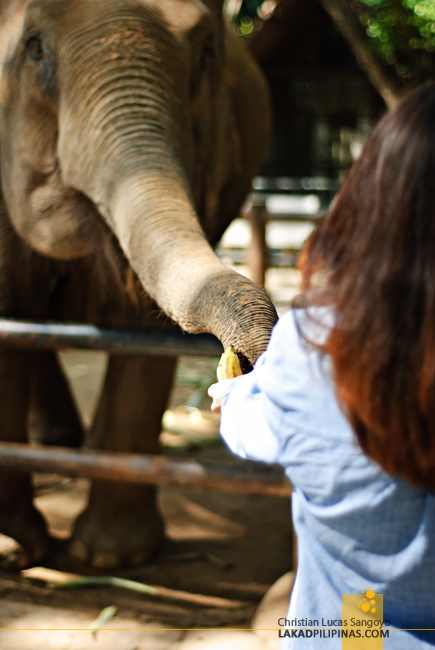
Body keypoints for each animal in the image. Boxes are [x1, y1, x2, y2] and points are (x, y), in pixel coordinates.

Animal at [0, 0, 280, 568]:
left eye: (206, 53)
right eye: (34, 47)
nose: (246, 360)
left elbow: (145, 334)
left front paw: (113, 558)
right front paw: (19, 551)